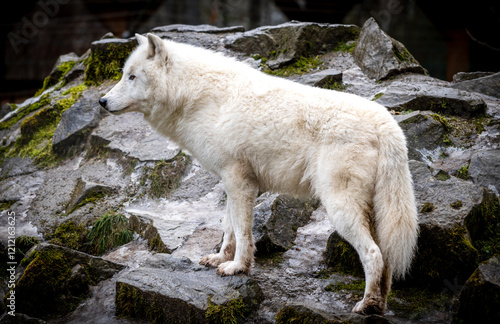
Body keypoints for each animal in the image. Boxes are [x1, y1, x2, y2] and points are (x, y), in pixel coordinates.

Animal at [98, 32, 418, 314]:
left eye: (131, 77)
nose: (101, 101)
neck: (197, 98)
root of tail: (387, 124)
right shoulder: (230, 181)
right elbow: (228, 228)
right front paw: (220, 259)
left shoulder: (239, 180)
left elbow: (241, 231)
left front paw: (238, 267)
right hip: (374, 213)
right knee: (386, 260)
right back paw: (378, 305)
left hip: (340, 208)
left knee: (374, 255)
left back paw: (366, 306)